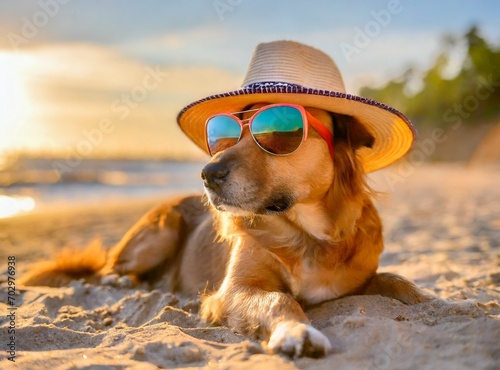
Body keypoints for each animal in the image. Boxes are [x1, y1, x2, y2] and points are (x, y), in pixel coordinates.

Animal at [20, 105, 434, 358]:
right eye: (226, 134)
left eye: (279, 134)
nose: (207, 174)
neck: (307, 233)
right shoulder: (232, 292)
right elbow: (279, 299)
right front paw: (296, 332)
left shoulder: (359, 278)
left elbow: (397, 280)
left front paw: (439, 301)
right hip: (161, 230)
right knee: (110, 267)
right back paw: (119, 280)